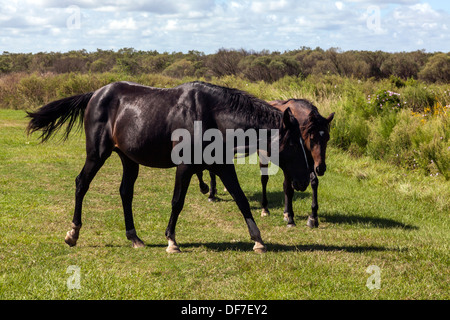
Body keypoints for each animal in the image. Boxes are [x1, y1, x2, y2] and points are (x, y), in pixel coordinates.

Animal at [26, 81, 312, 254]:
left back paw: (134, 237)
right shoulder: (185, 166)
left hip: (129, 159)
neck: (211, 115)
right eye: (294, 144)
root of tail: (96, 94)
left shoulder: (222, 166)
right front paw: (171, 241)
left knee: (125, 192)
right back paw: (73, 233)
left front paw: (258, 240)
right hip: (97, 154)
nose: (304, 181)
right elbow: (177, 201)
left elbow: (241, 199)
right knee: (81, 184)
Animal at [200, 99, 334, 228]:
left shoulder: (307, 164)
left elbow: (313, 182)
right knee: (264, 180)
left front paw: (313, 217)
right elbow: (288, 188)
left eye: (327, 138)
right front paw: (290, 218)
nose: (321, 168)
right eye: (312, 138)